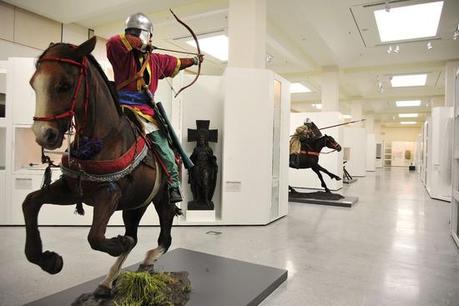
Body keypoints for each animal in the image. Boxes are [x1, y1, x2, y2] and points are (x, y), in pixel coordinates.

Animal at [23, 35, 178, 296]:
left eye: (64, 85)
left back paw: (146, 260)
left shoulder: (109, 193)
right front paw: (48, 260)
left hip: (163, 200)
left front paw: (118, 243)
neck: (105, 137)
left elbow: (95, 236)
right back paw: (108, 281)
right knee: (134, 234)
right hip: (136, 204)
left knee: (165, 238)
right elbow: (30, 202)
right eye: (33, 83)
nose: (44, 135)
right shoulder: (73, 189)